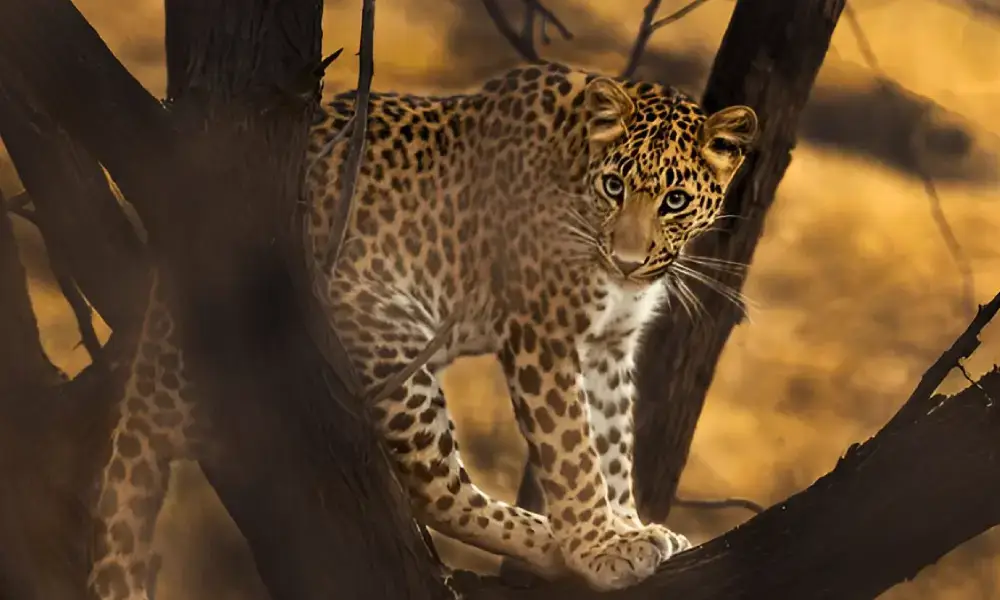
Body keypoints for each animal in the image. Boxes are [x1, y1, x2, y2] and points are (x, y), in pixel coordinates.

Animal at [86, 60, 757, 599]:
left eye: (674, 201)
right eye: (615, 186)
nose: (626, 260)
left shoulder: (608, 346)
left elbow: (613, 444)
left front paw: (626, 526)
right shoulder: (541, 333)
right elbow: (573, 452)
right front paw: (598, 548)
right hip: (388, 333)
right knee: (432, 490)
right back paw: (547, 543)